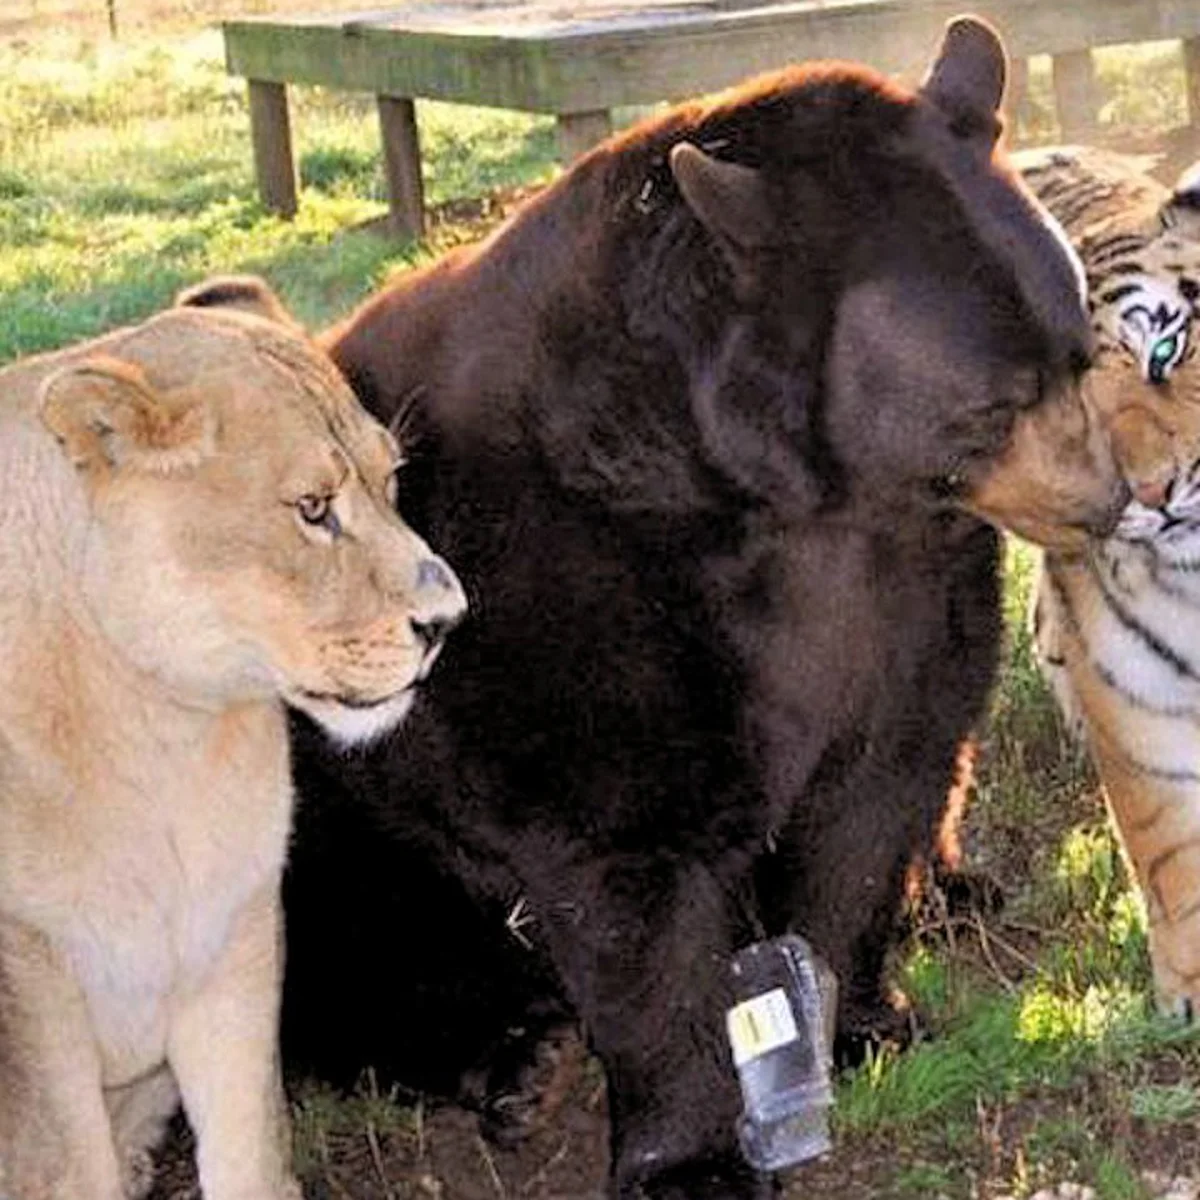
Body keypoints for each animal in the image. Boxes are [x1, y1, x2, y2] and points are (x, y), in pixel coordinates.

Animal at [0, 277, 466, 1200]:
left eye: (391, 480)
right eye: (314, 509)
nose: (448, 620)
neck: (163, 736)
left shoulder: (235, 942)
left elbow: (249, 1155)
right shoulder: (35, 1001)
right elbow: (70, 1171)